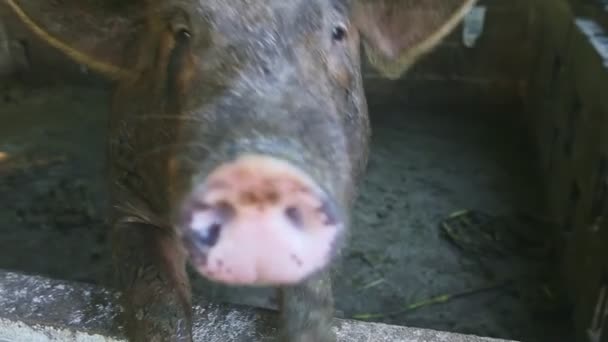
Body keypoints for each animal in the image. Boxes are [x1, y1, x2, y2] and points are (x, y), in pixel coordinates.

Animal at [3, 1, 480, 340]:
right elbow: (155, 294)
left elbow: (311, 297)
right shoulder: (125, 191)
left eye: (338, 33)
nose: (259, 172)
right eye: (182, 34)